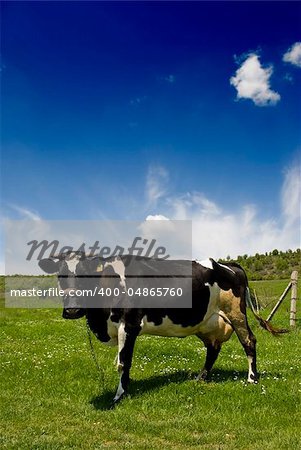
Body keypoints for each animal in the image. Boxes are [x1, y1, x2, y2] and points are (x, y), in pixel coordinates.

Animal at [38, 253, 282, 404]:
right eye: (60, 274)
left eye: (86, 273)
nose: (72, 310)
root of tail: (229, 264)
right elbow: (123, 361)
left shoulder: (130, 324)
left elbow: (123, 362)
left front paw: (119, 395)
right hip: (206, 322)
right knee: (213, 349)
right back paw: (201, 377)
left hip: (236, 313)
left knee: (249, 341)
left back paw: (252, 379)